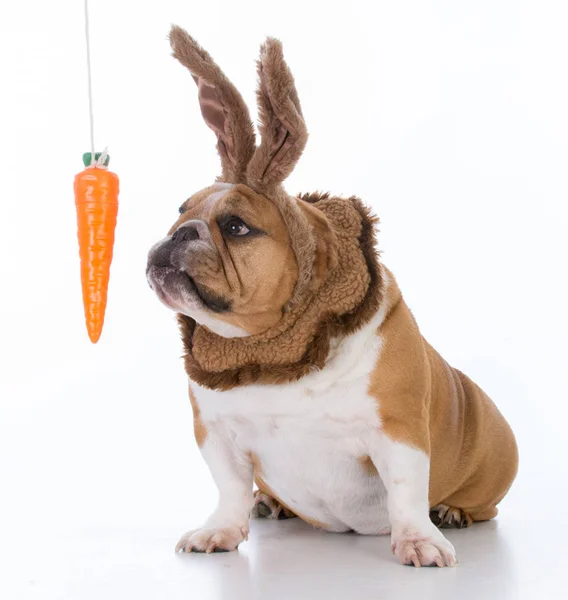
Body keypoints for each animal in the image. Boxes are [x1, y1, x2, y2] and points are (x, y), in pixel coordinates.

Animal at [148, 24, 520, 568]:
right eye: (180, 209)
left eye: (236, 227)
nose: (179, 233)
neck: (269, 353)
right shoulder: (216, 433)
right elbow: (229, 488)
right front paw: (221, 529)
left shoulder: (399, 430)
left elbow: (407, 491)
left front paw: (419, 539)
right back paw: (269, 503)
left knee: (482, 505)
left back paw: (451, 511)